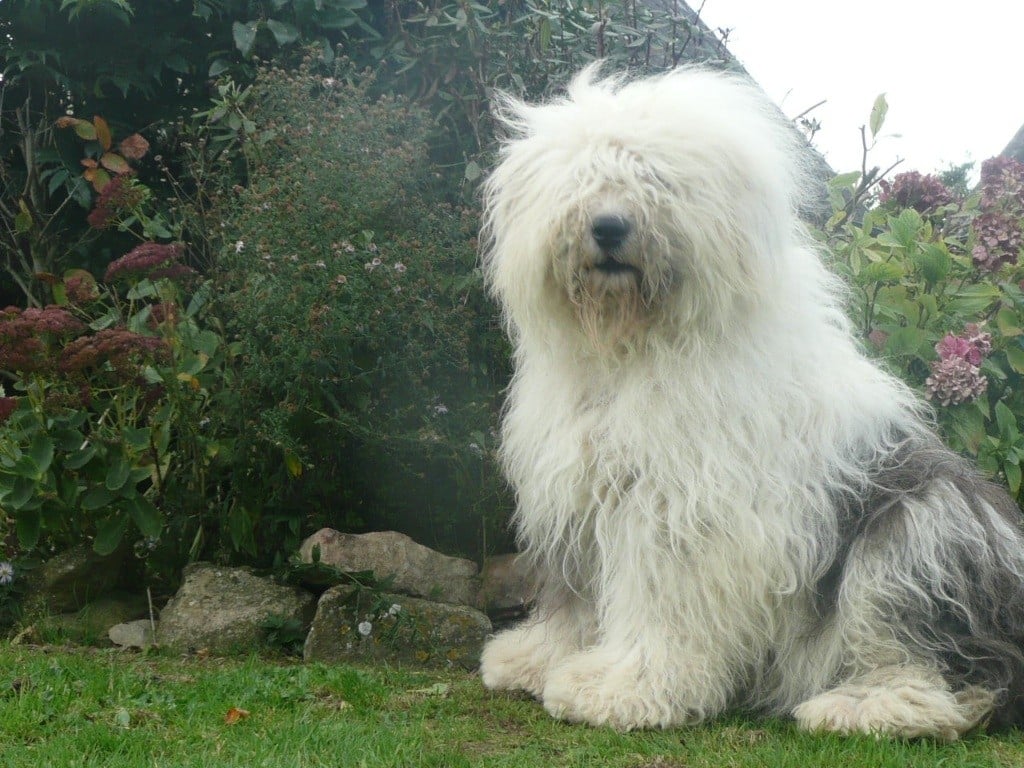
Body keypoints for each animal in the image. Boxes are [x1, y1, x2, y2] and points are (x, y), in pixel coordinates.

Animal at [477, 66, 1024, 741]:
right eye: (583, 176)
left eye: (655, 178)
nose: (607, 227)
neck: (634, 348)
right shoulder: (580, 493)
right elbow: (575, 596)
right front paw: (536, 658)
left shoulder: (681, 509)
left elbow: (662, 603)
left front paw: (624, 688)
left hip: (920, 531)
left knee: (947, 676)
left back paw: (861, 706)